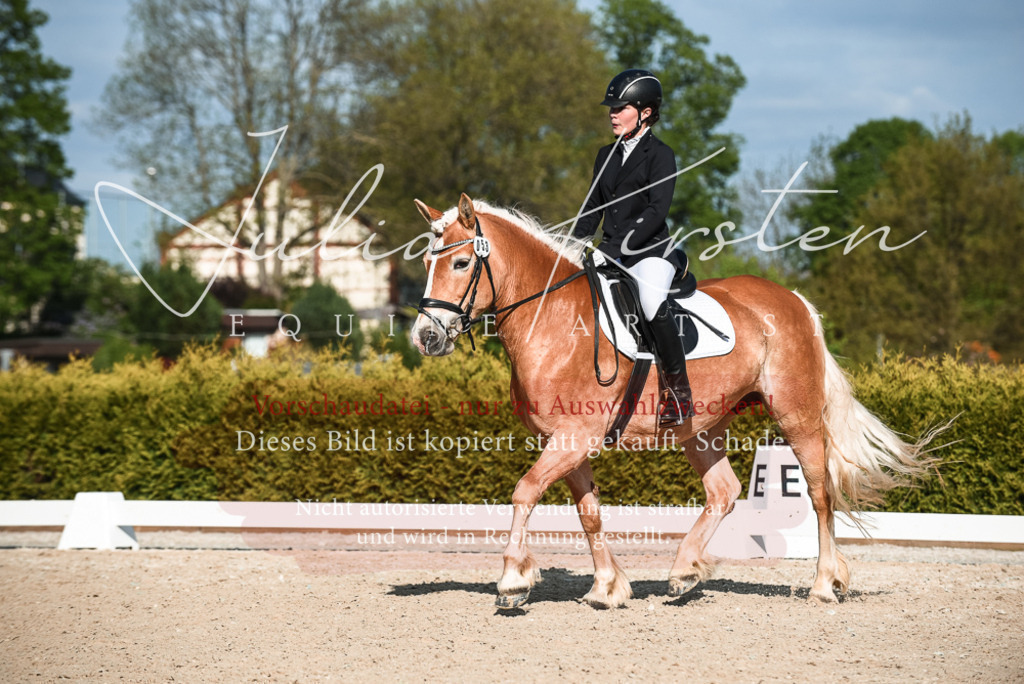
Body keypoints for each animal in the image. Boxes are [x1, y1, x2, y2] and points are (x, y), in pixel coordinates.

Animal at [410, 193, 934, 609]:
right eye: (426, 265)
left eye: (460, 264)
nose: (425, 338)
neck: (552, 320)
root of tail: (793, 300)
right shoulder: (566, 443)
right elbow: (588, 512)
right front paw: (607, 588)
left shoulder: (573, 438)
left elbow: (524, 492)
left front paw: (513, 580)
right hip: (698, 428)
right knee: (723, 492)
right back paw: (685, 571)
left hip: (796, 415)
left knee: (820, 492)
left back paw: (824, 583)